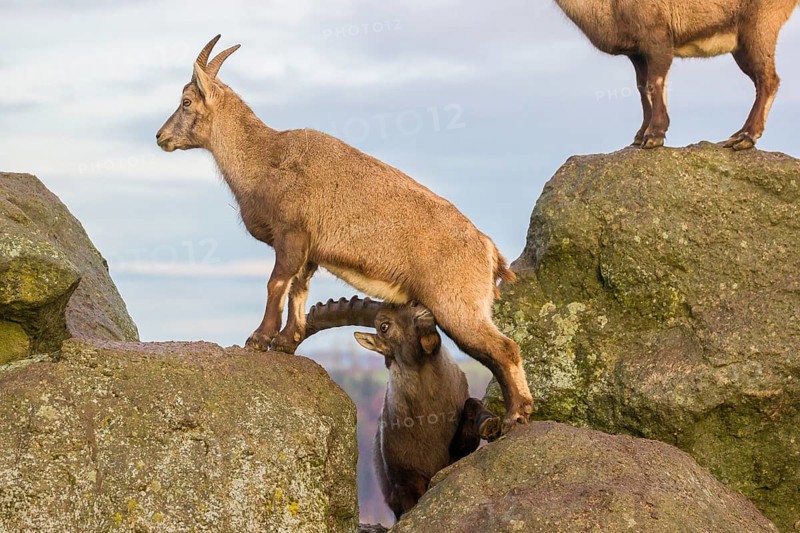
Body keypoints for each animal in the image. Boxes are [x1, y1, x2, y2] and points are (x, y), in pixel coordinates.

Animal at [156, 35, 532, 431]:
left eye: (186, 101)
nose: (160, 136)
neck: (264, 158)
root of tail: (487, 250)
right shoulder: (309, 250)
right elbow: (299, 290)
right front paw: (287, 341)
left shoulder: (291, 234)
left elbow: (276, 283)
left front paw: (259, 338)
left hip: (457, 306)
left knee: (505, 349)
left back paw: (517, 415)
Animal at [302, 296, 501, 519]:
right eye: (384, 326)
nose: (419, 307)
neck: (429, 418)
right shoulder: (404, 484)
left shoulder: (456, 455)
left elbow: (471, 404)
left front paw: (489, 423)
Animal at [554, 0, 798, 149]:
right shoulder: (637, 53)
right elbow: (642, 88)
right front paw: (640, 135)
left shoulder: (658, 38)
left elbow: (655, 82)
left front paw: (654, 135)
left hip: (758, 27)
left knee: (768, 79)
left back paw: (745, 136)